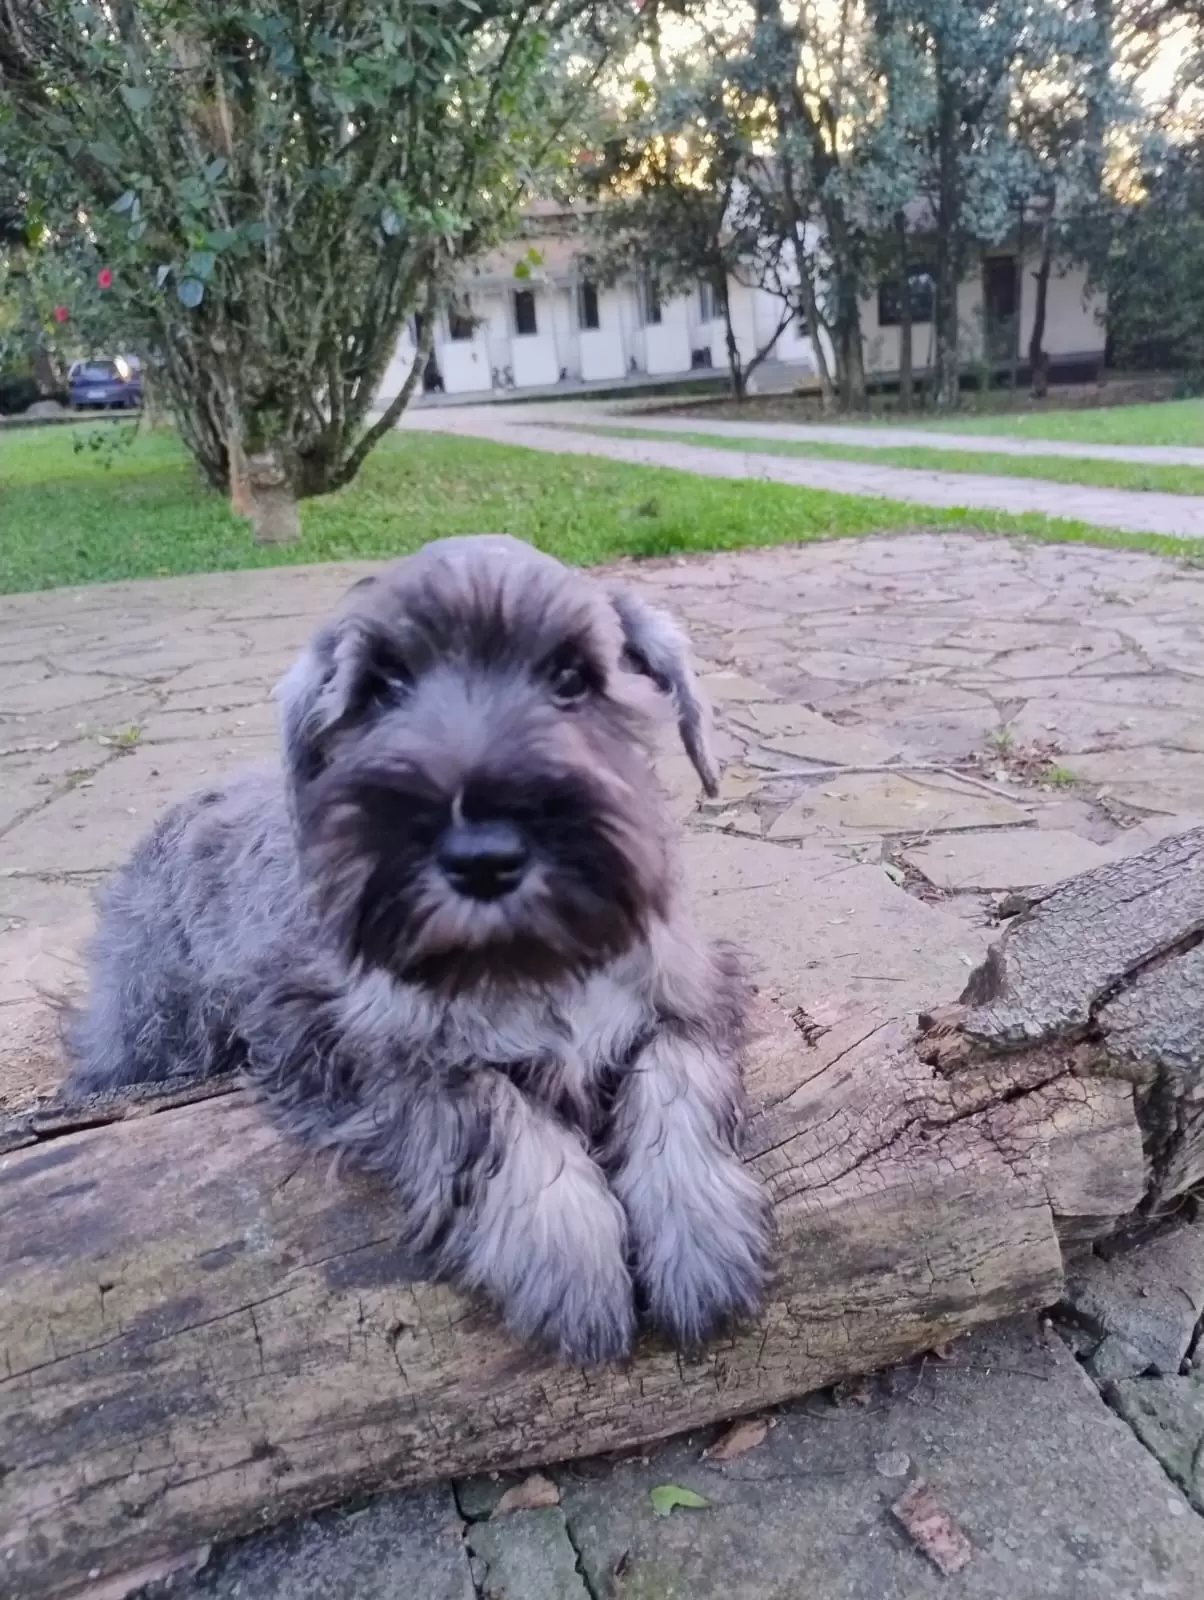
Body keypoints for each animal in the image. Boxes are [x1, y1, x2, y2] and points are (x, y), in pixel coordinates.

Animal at [68, 534, 771, 1363]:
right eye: (384, 686)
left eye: (573, 677)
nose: (482, 856)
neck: (524, 960)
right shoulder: (358, 1045)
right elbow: (490, 1111)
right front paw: (569, 1256)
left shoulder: (692, 990)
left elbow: (676, 1080)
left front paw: (700, 1238)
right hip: (154, 1032)